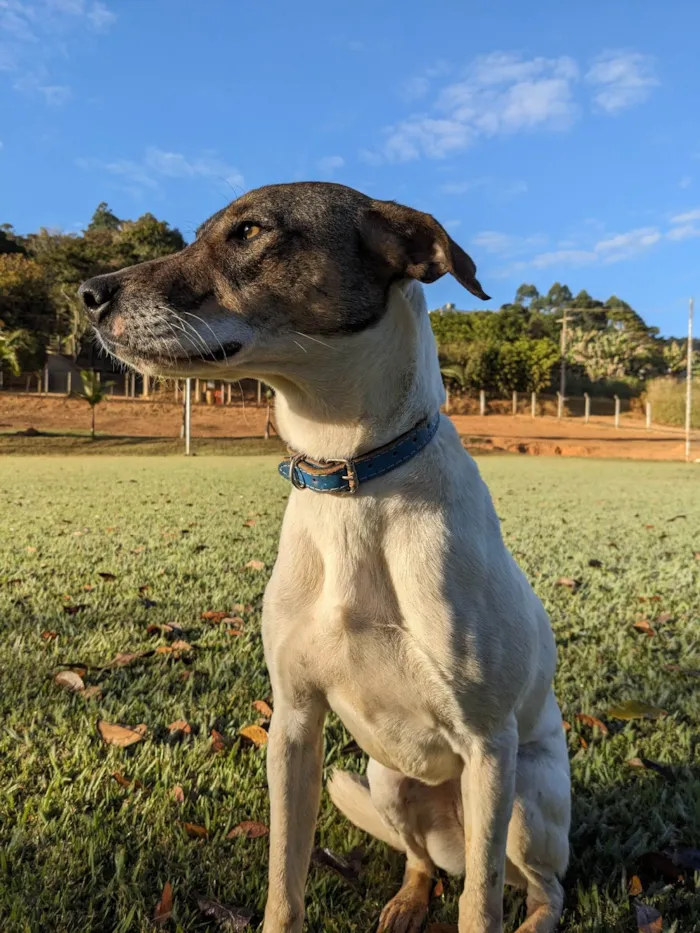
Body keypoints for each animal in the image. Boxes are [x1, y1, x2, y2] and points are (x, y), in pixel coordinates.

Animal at [82, 182, 572, 932]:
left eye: (249, 231)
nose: (86, 293)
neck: (351, 478)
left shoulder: (490, 747)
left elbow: (479, 907)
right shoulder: (292, 723)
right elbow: (285, 875)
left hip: (520, 800)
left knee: (539, 886)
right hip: (389, 779)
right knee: (423, 862)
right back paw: (406, 901)